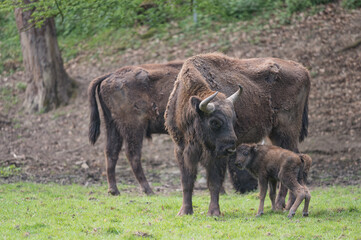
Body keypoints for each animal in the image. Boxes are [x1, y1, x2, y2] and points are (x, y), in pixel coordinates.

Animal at [165, 52, 308, 216]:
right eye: (215, 121)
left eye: (234, 119)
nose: (230, 148)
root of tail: (303, 70)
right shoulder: (181, 149)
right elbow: (187, 181)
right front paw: (184, 211)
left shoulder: (216, 155)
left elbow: (214, 182)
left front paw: (214, 212)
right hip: (276, 135)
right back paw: (283, 205)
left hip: (286, 132)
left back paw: (285, 205)